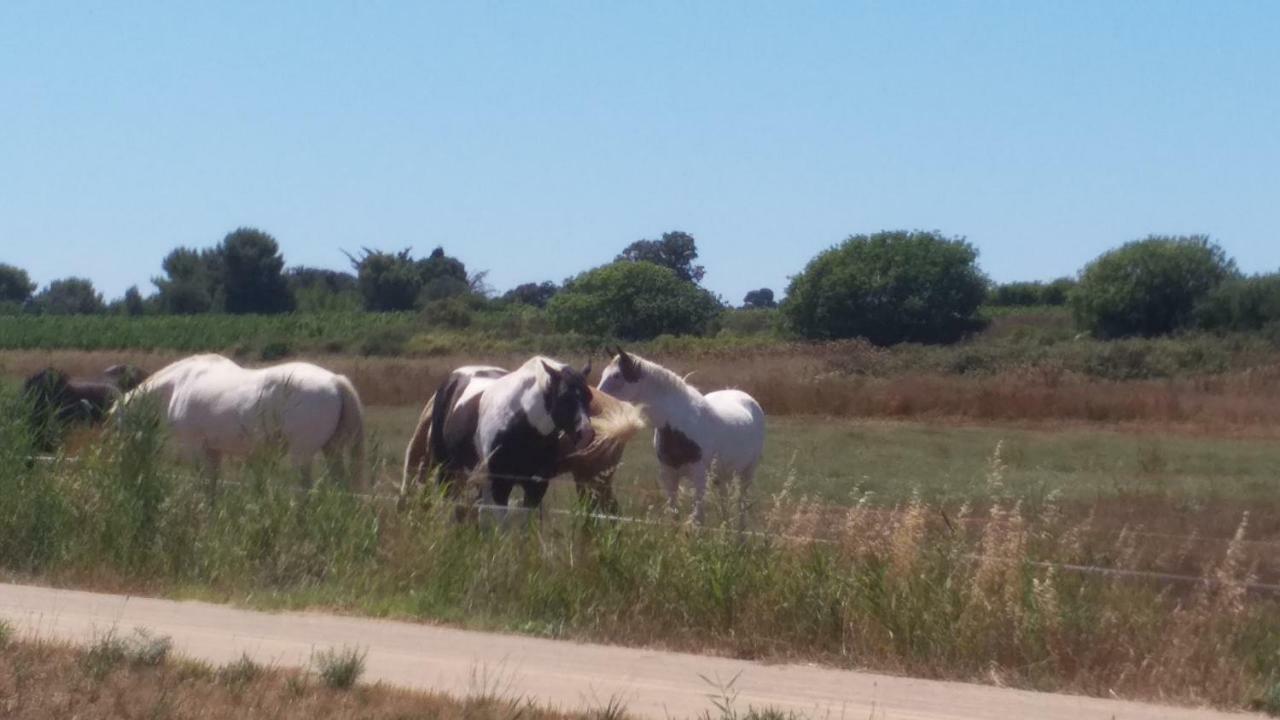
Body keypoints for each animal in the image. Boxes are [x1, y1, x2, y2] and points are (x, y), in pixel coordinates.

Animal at [117, 351, 366, 486]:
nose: (126, 467)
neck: (179, 383)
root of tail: (334, 380)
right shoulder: (214, 451)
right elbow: (211, 486)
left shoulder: (196, 448)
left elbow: (203, 483)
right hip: (332, 450)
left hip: (302, 454)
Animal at [399, 363, 645, 509]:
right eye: (564, 397)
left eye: (587, 396)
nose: (586, 433)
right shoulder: (497, 483)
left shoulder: (533, 486)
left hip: (593, 480)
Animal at [596, 345, 762, 525]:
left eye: (617, 375)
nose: (595, 400)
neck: (679, 425)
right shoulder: (669, 476)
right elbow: (674, 515)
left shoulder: (699, 478)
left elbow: (698, 519)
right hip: (721, 474)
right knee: (724, 502)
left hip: (747, 473)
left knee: (741, 504)